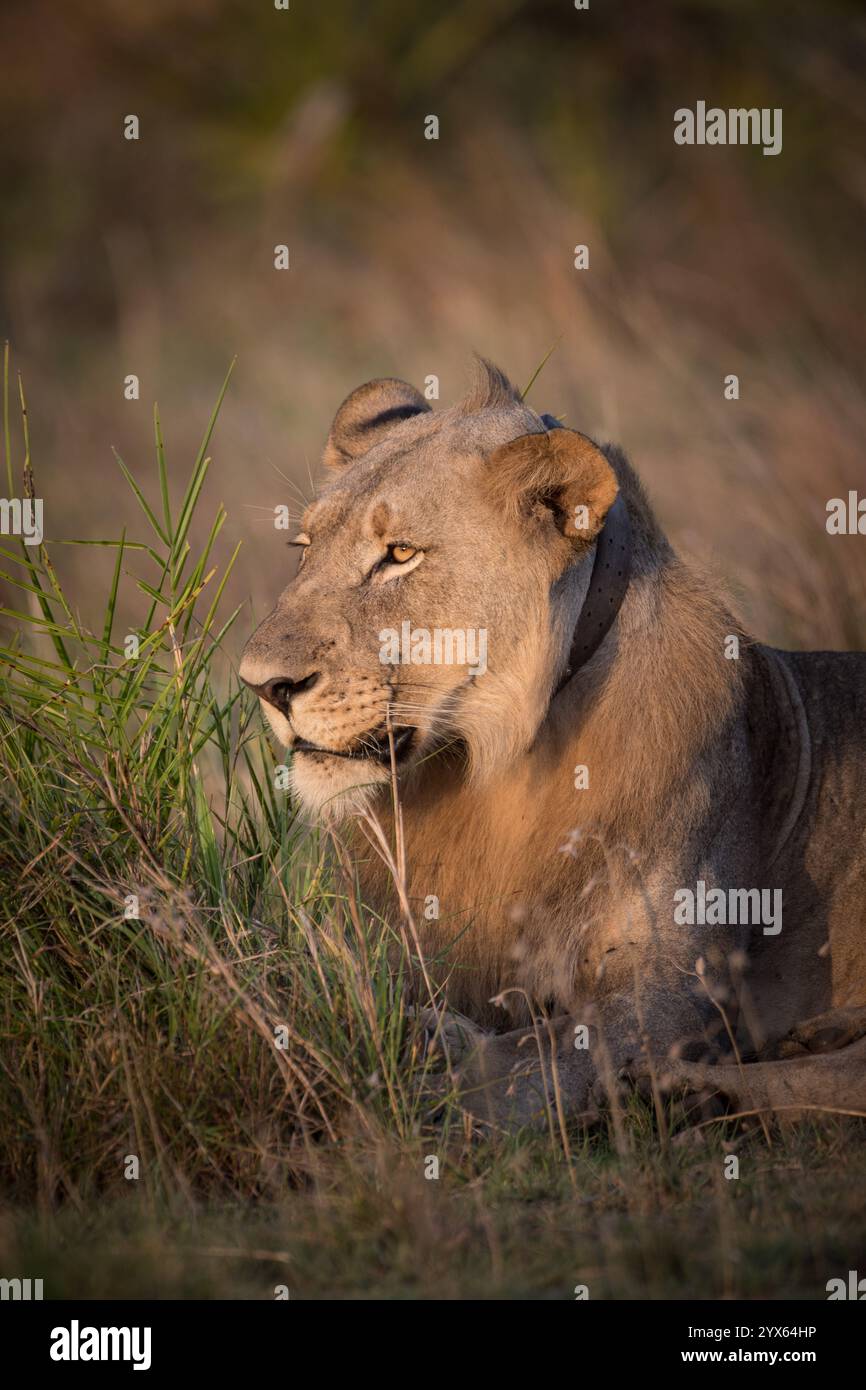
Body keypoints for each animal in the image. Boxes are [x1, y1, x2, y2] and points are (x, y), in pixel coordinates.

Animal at [240, 358, 866, 1128]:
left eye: (400, 555)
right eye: (303, 550)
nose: (262, 684)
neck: (495, 767)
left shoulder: (675, 987)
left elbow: (541, 1052)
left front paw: (431, 1084)